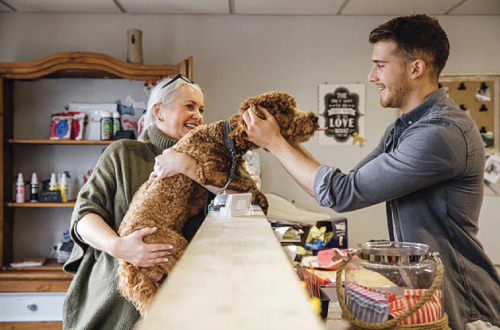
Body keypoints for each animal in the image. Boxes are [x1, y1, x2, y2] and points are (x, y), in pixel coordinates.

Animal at [116, 90, 318, 314]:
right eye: (284, 110)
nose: (314, 117)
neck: (225, 138)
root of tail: (128, 264)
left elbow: (243, 181)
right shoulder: (208, 171)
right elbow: (244, 183)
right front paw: (262, 200)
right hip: (171, 246)